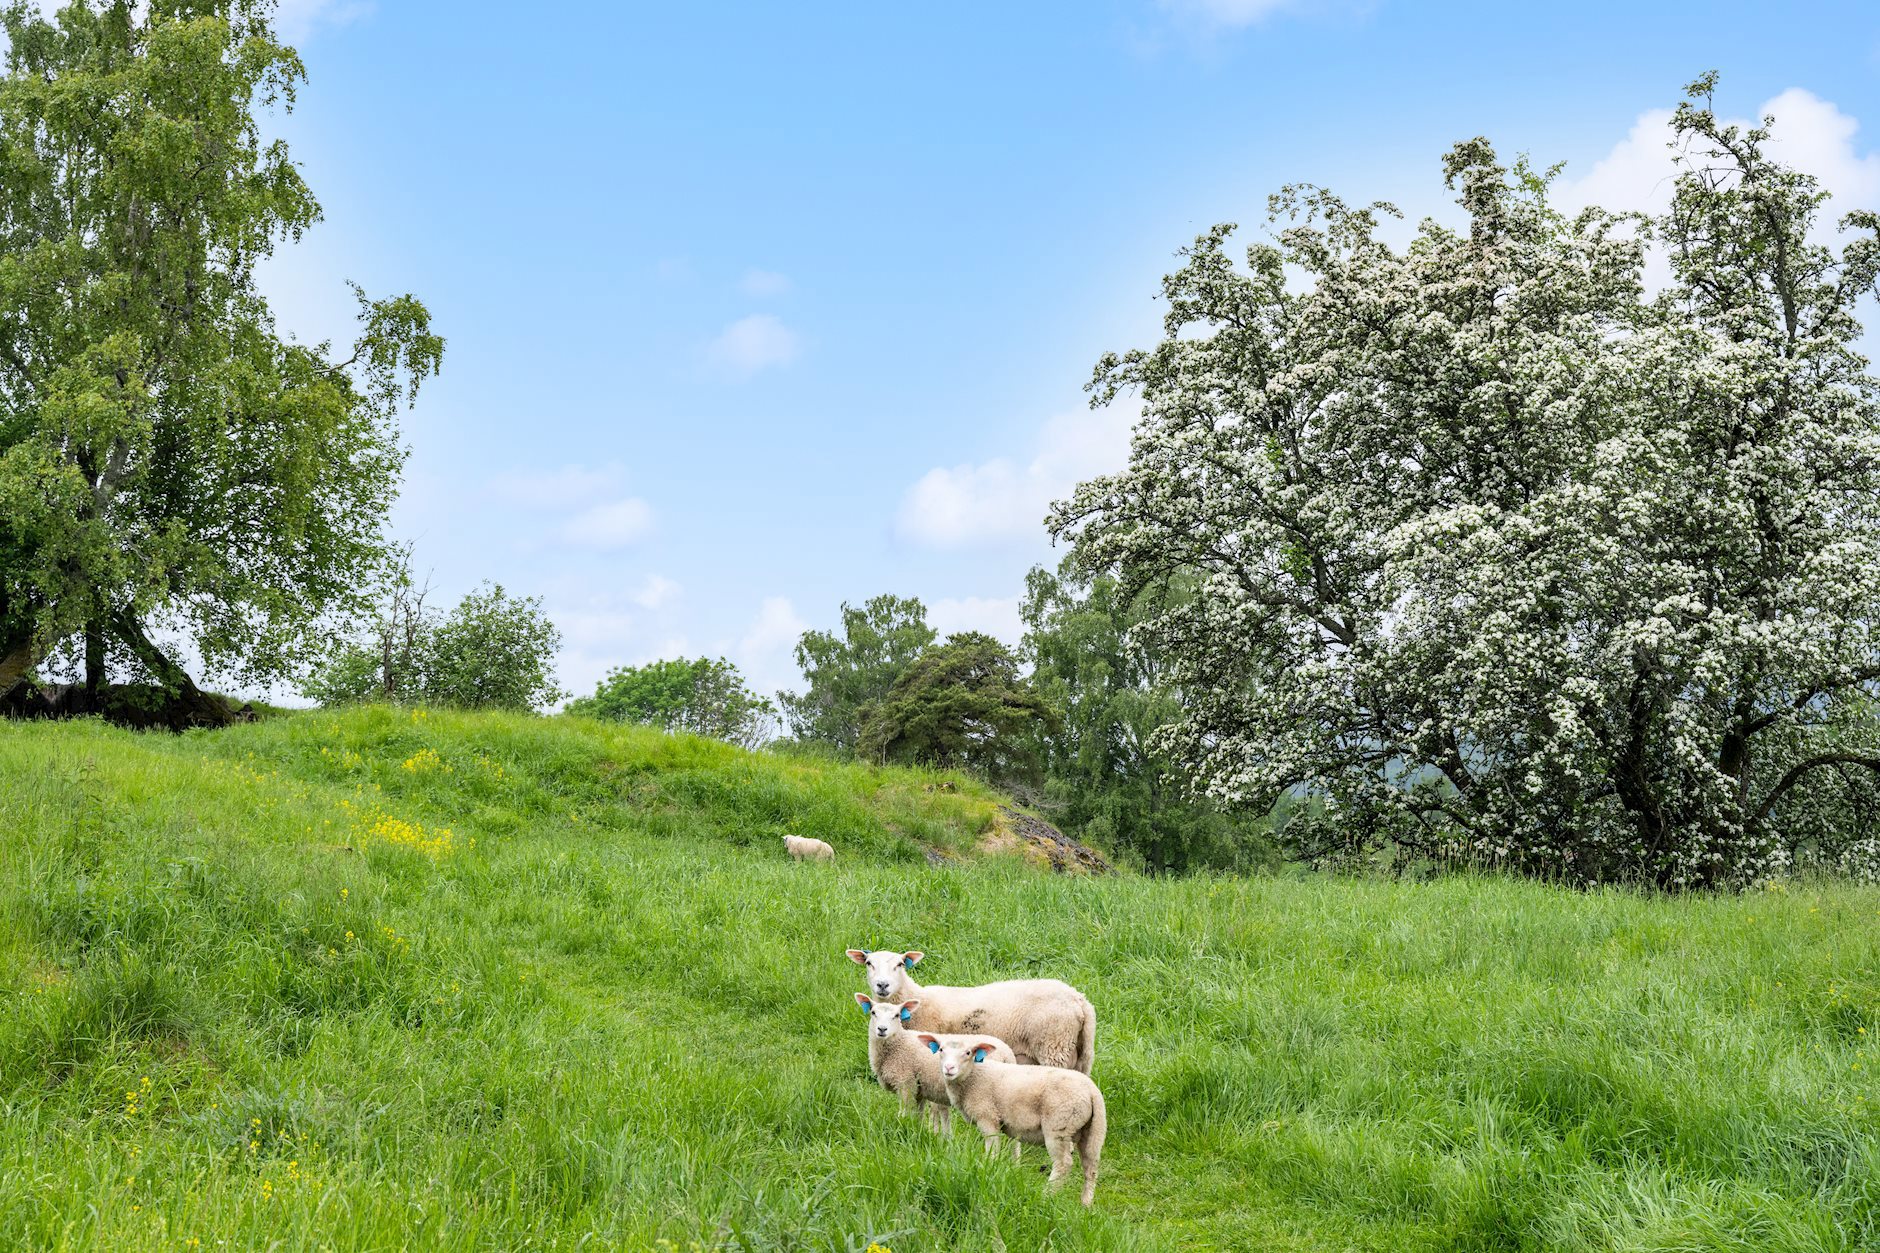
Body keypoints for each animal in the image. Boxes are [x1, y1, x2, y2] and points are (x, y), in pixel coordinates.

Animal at [846, 951, 1097, 1068]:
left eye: (899, 964)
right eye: (869, 963)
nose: (882, 985)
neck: (918, 999)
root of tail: (1078, 998)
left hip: (1054, 1045)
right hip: (1080, 1053)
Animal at [857, 993, 1015, 1136]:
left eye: (897, 1015)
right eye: (873, 1012)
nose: (882, 1029)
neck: (898, 1043)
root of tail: (1007, 1053)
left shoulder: (906, 1082)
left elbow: (904, 1112)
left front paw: (902, 1127)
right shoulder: (919, 1088)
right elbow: (918, 1114)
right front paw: (917, 1130)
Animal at [917, 1030, 1105, 1204]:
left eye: (968, 1053)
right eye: (941, 1049)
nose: (949, 1068)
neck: (973, 1076)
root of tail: (1092, 1091)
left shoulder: (988, 1117)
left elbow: (992, 1151)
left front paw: (988, 1171)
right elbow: (1012, 1148)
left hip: (1059, 1126)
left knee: (1063, 1164)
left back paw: (1046, 1196)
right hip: (1092, 1131)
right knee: (1091, 1166)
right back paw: (1085, 1204)